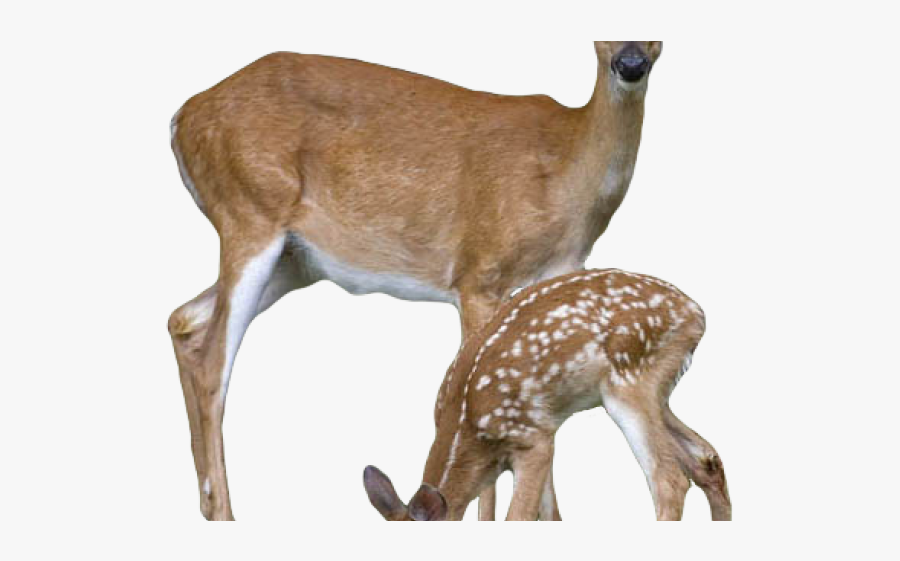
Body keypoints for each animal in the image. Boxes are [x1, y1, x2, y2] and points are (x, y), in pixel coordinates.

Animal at [167, 42, 663, 520]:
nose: (631, 63)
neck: (566, 166)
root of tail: (183, 117)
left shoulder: (560, 279)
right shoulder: (478, 274)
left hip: (295, 260)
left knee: (185, 321)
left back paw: (207, 504)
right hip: (250, 215)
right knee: (213, 362)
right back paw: (226, 512)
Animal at [363, 269, 731, 521]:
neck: (466, 427)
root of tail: (696, 313)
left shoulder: (533, 438)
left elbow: (519, 517)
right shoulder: (544, 431)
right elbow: (551, 515)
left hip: (628, 382)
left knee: (669, 478)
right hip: (653, 390)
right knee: (707, 459)